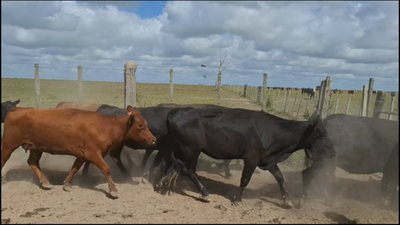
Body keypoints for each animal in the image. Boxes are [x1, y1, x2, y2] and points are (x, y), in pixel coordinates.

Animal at [0, 105, 155, 199]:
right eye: (140, 125)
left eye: (146, 124)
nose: (153, 140)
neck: (107, 126)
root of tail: (19, 109)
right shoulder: (93, 153)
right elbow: (107, 169)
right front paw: (113, 190)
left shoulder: (82, 154)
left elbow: (75, 168)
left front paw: (67, 184)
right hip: (8, 144)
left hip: (36, 147)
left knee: (32, 162)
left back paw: (44, 182)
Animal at [158, 107, 336, 207]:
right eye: (321, 134)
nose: (334, 152)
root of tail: (178, 111)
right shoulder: (251, 159)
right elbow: (245, 179)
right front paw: (237, 199)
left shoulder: (268, 159)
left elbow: (280, 177)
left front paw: (287, 200)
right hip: (190, 149)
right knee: (189, 170)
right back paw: (205, 193)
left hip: (179, 148)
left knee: (172, 164)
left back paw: (163, 183)